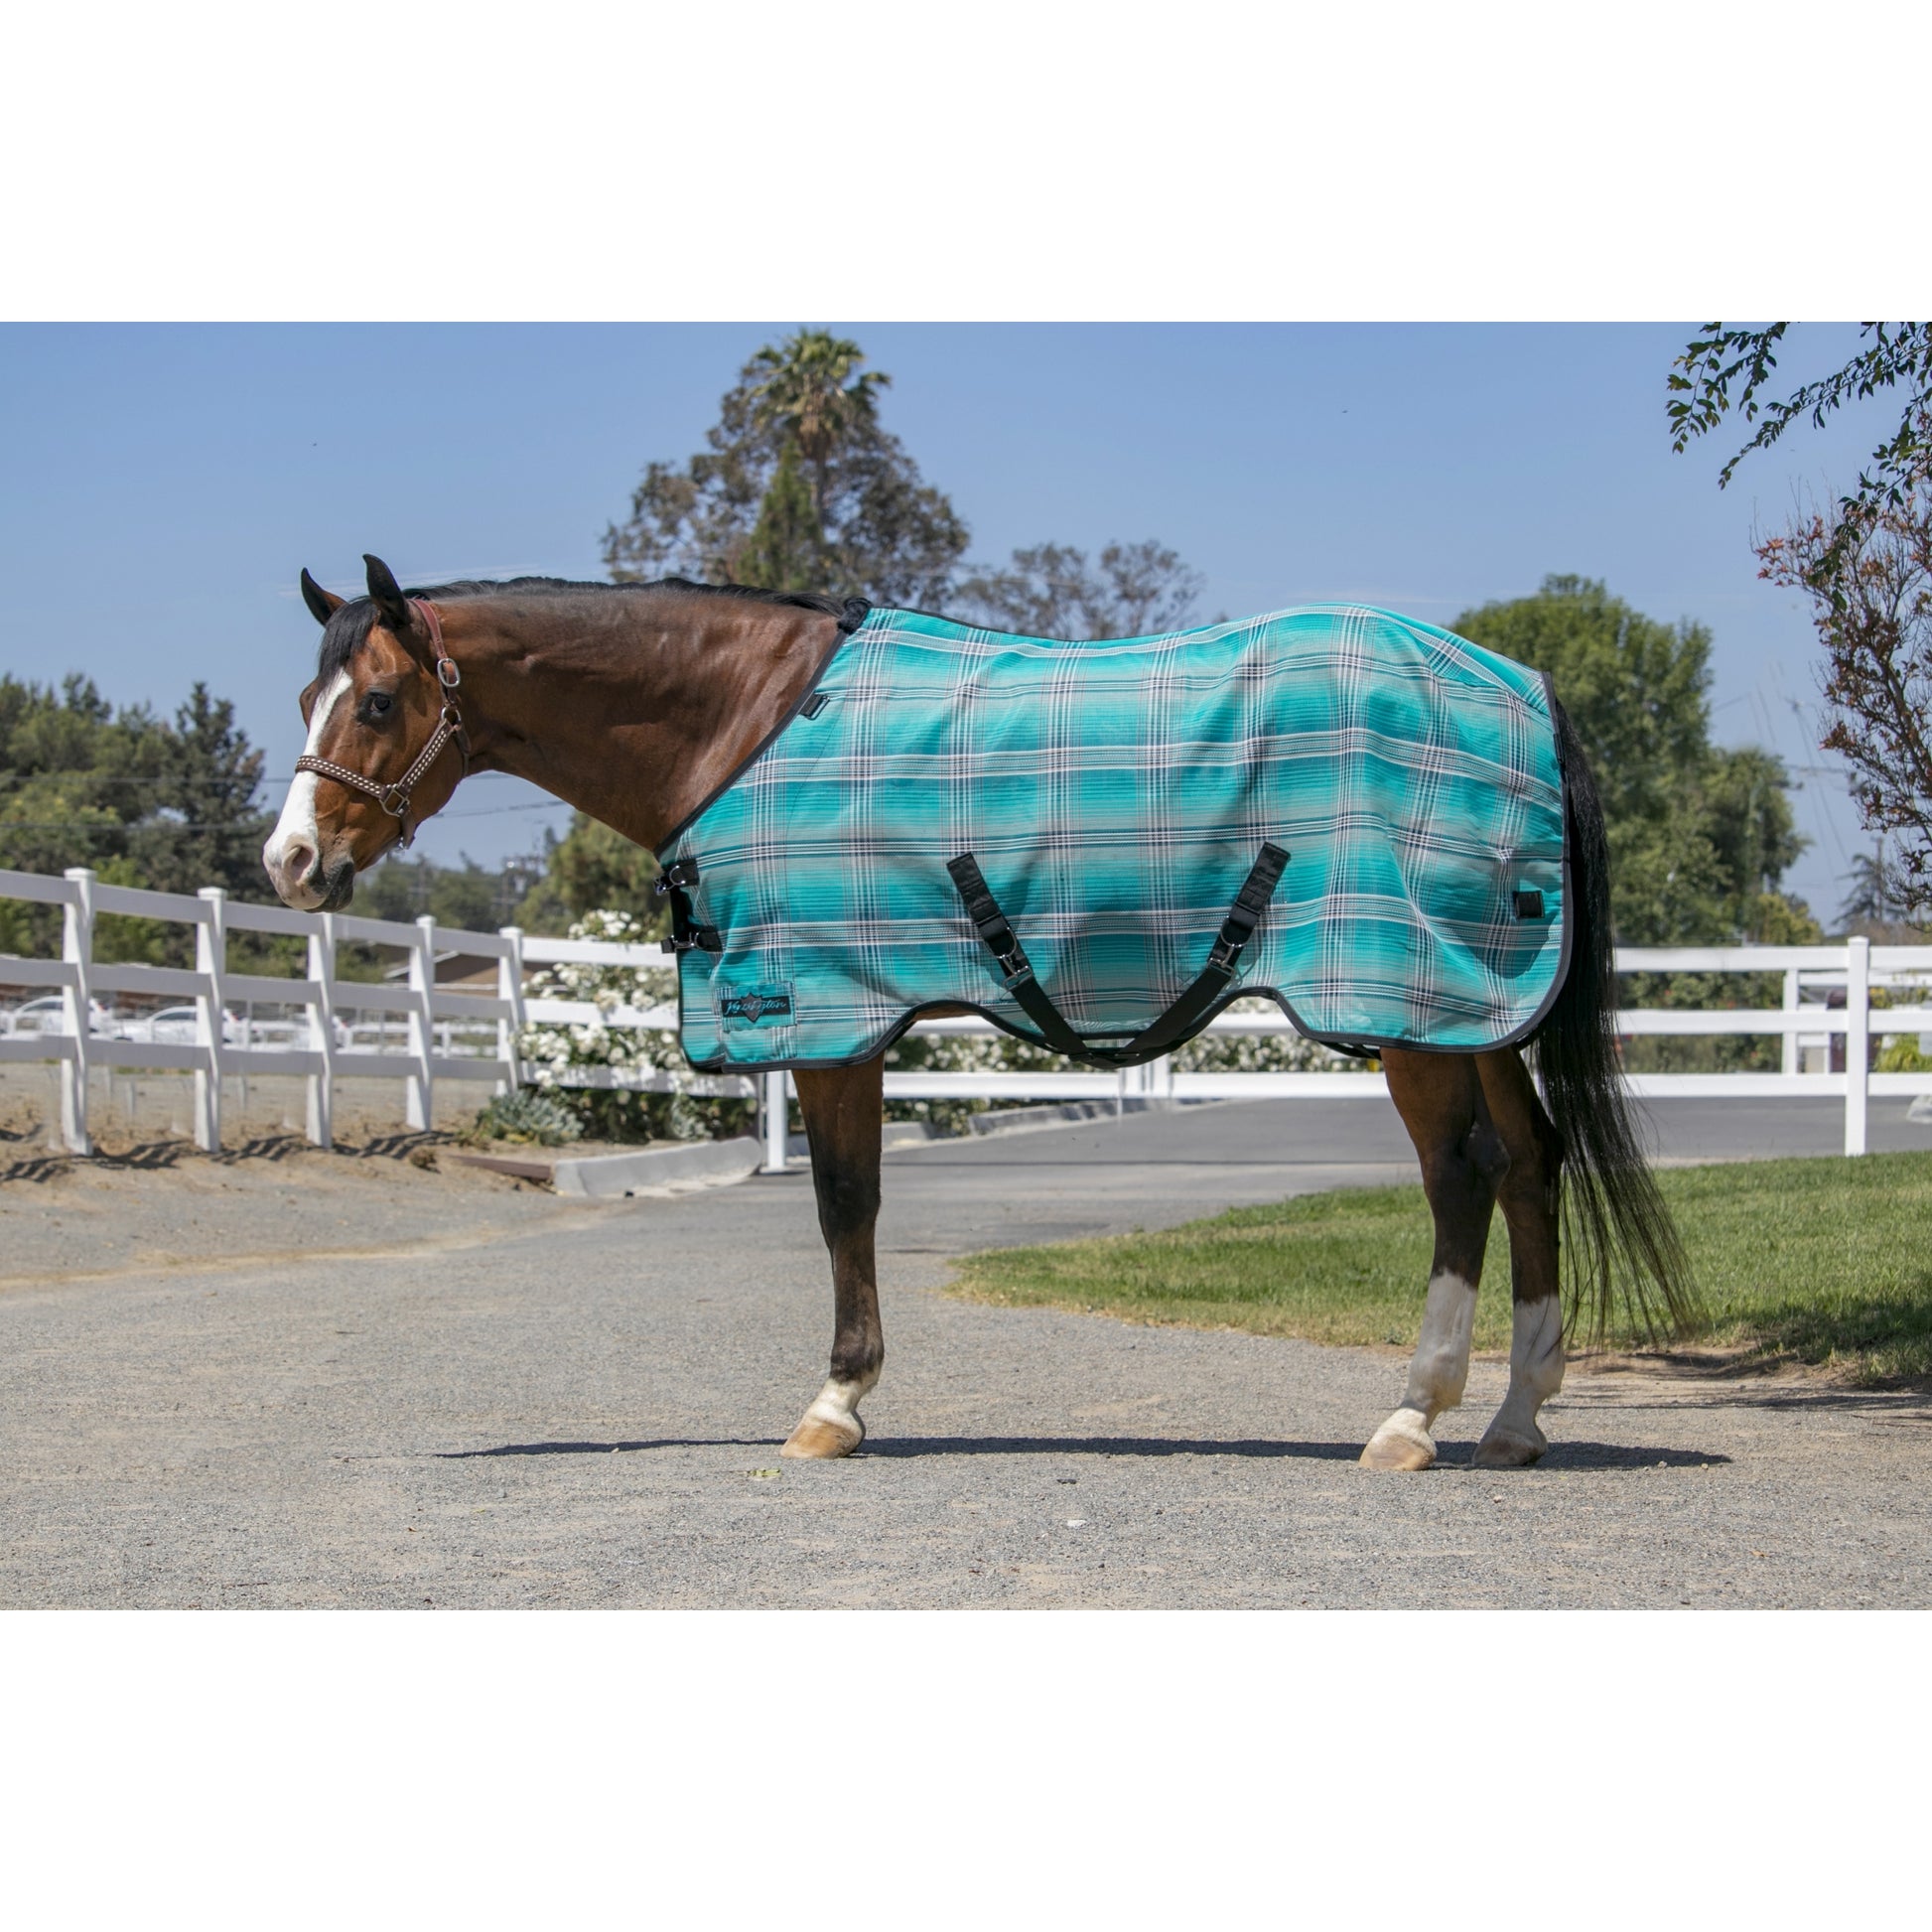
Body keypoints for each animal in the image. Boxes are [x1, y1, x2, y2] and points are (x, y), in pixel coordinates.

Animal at [264, 556, 1693, 1471]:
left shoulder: (832, 1018)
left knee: (1462, 1176)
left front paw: (834, 1402)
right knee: (1531, 1166)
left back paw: (1411, 1417)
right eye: (309, 699)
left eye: (378, 700)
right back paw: (1513, 1420)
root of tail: (1522, 686)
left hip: (1403, 1010)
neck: (741, 722)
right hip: (1472, 1007)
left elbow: (845, 1203)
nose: (289, 863)